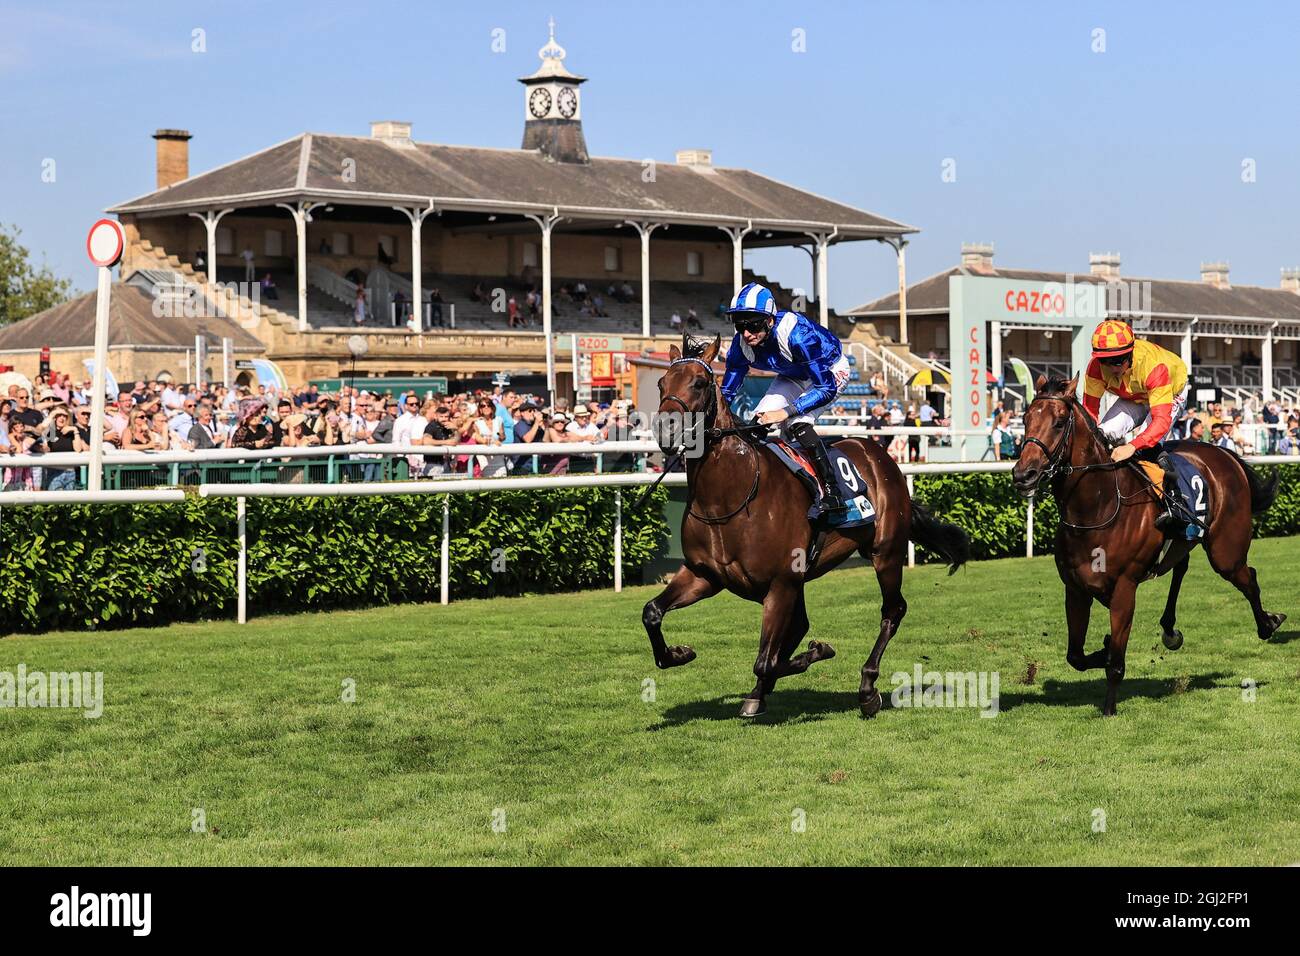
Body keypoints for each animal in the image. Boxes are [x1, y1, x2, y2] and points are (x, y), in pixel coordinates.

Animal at [639, 335, 967, 717]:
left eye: (700, 382)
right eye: (662, 384)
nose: (666, 430)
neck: (729, 496)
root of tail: (880, 454)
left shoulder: (781, 582)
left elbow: (766, 660)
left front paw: (818, 651)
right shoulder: (704, 575)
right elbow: (652, 612)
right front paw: (679, 653)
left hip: (885, 552)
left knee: (892, 610)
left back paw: (867, 688)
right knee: (800, 627)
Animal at [1008, 374, 1284, 717]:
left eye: (1059, 423)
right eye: (1025, 419)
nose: (1023, 474)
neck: (1098, 506)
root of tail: (1223, 453)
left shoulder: (1125, 589)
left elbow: (1115, 661)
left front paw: (1109, 708)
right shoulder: (1075, 589)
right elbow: (1076, 656)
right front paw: (1102, 648)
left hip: (1226, 552)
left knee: (1249, 577)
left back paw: (1269, 623)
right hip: (1183, 542)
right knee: (1182, 567)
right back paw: (1170, 630)